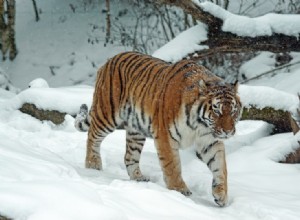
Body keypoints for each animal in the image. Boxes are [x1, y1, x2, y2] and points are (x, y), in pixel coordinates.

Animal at [75, 51, 241, 206]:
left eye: (233, 111)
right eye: (216, 110)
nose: (227, 131)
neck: (199, 125)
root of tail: (110, 59)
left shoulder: (210, 140)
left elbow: (220, 166)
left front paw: (221, 195)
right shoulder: (165, 136)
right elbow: (172, 166)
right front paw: (179, 190)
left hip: (136, 131)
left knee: (129, 156)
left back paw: (139, 178)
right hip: (107, 114)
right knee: (92, 136)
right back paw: (92, 165)